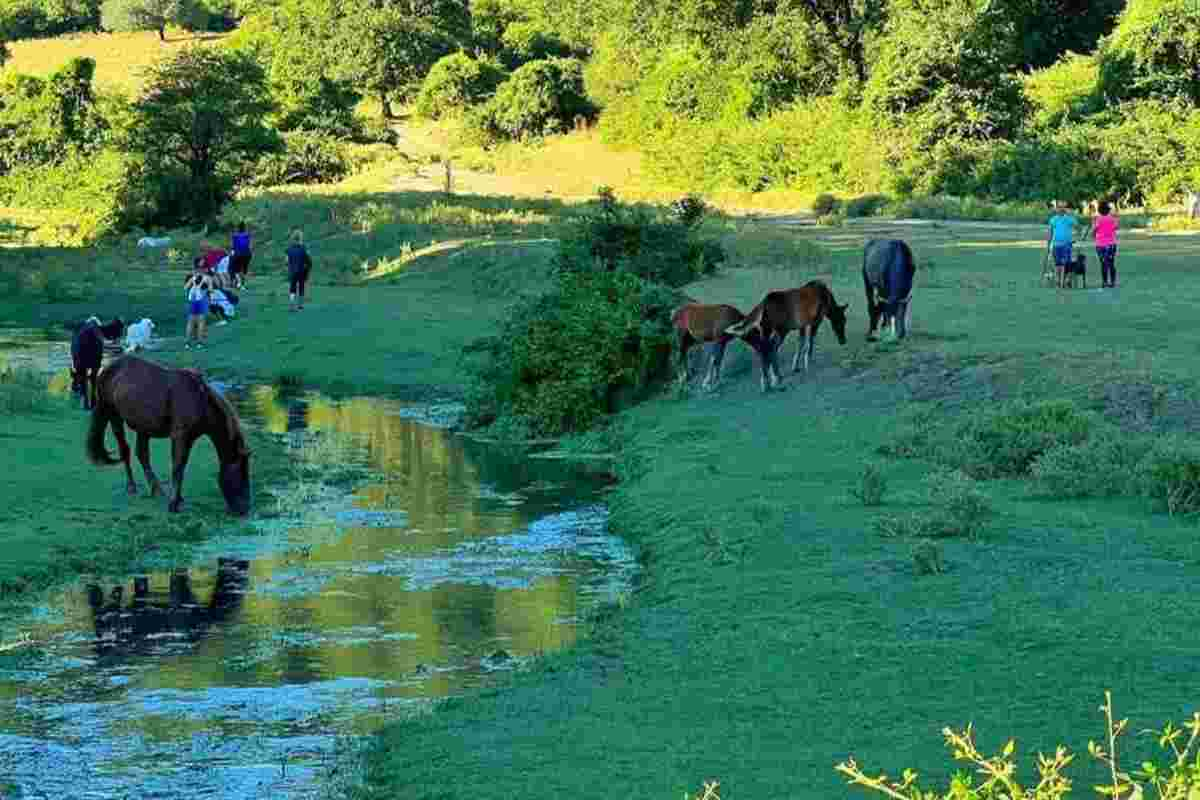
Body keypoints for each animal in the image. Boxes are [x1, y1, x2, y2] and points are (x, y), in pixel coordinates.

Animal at [87, 355, 253, 515]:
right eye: (240, 474)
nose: (244, 509)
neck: (200, 401)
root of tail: (107, 368)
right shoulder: (180, 436)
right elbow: (178, 468)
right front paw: (174, 504)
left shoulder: (189, 439)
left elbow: (180, 467)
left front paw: (177, 499)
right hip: (114, 416)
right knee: (125, 450)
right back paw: (132, 486)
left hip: (143, 428)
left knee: (142, 455)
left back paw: (156, 490)